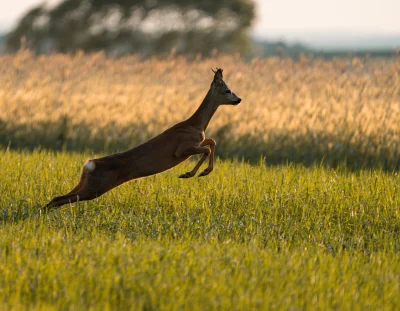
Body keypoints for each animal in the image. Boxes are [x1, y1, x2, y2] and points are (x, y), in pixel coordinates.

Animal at [45, 68, 242, 210]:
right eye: (228, 90)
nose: (239, 99)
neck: (196, 124)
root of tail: (89, 164)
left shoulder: (196, 141)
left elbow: (211, 141)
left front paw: (196, 173)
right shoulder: (181, 149)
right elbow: (208, 146)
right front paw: (193, 173)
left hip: (85, 183)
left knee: (57, 198)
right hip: (96, 187)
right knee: (59, 199)